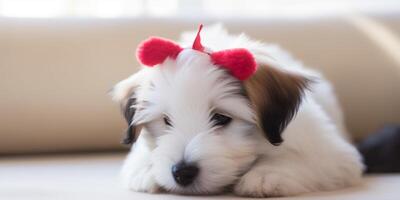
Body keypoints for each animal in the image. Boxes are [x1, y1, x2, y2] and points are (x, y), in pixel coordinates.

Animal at [111, 25, 364, 197]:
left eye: (221, 118)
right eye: (166, 120)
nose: (183, 172)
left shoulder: (333, 155)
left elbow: (310, 159)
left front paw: (267, 173)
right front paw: (146, 168)